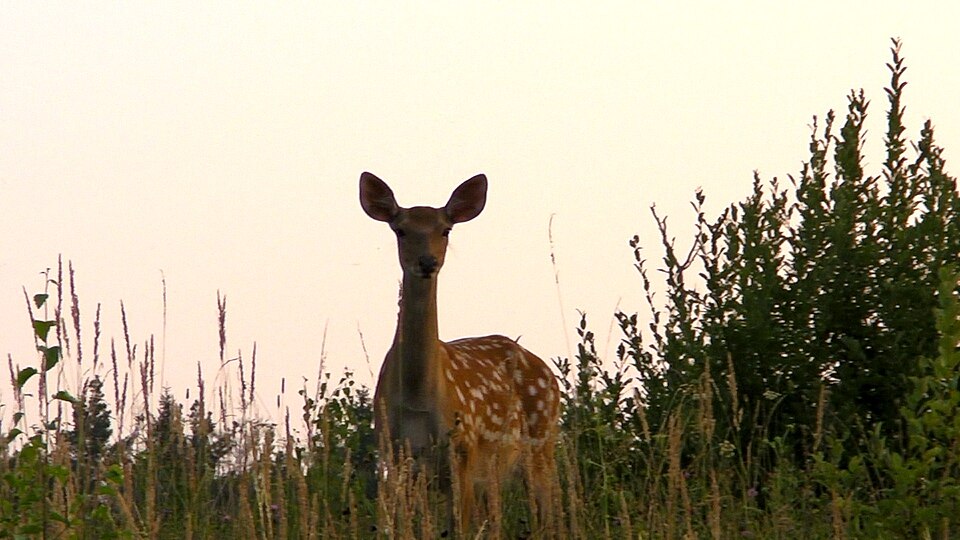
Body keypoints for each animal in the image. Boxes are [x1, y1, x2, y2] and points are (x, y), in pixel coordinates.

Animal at [360, 172, 560, 537]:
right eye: (400, 229)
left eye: (445, 229)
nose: (427, 262)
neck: (417, 399)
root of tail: (548, 372)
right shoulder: (392, 452)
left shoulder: (463, 449)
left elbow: (459, 527)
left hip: (541, 440)